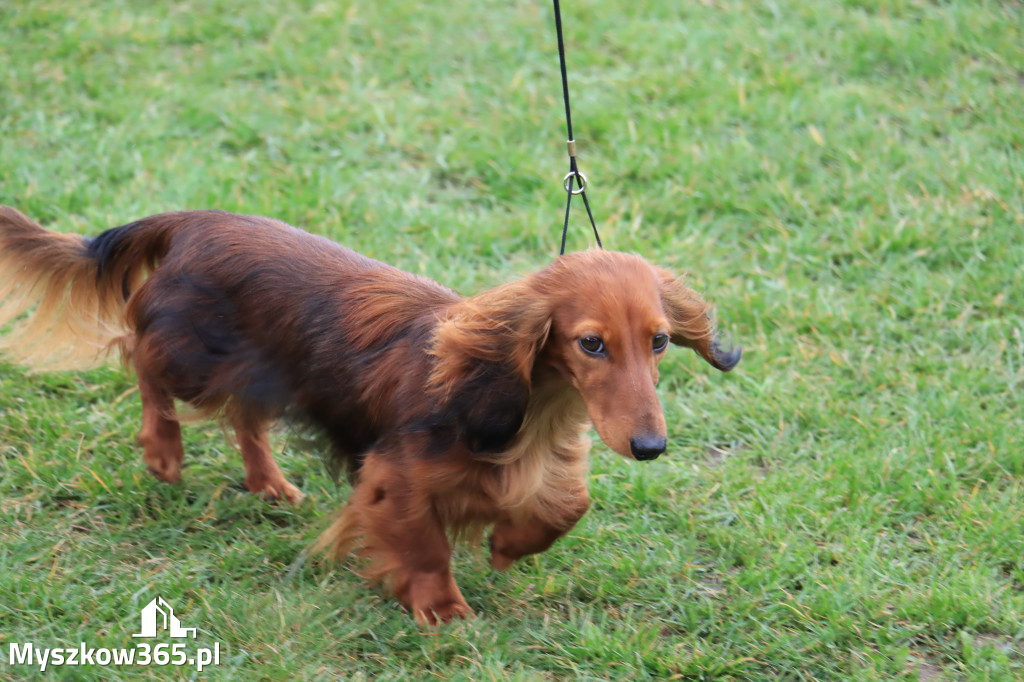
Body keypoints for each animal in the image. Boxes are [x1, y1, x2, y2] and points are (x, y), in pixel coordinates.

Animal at [0, 205, 737, 622]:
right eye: (590, 344)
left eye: (659, 341)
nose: (649, 447)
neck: (531, 406)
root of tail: (193, 221)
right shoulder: (395, 475)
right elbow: (424, 544)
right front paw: (442, 610)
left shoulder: (546, 466)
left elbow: (566, 505)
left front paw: (507, 545)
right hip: (195, 360)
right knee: (139, 353)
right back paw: (162, 448)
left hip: (262, 374)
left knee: (245, 419)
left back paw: (269, 483)